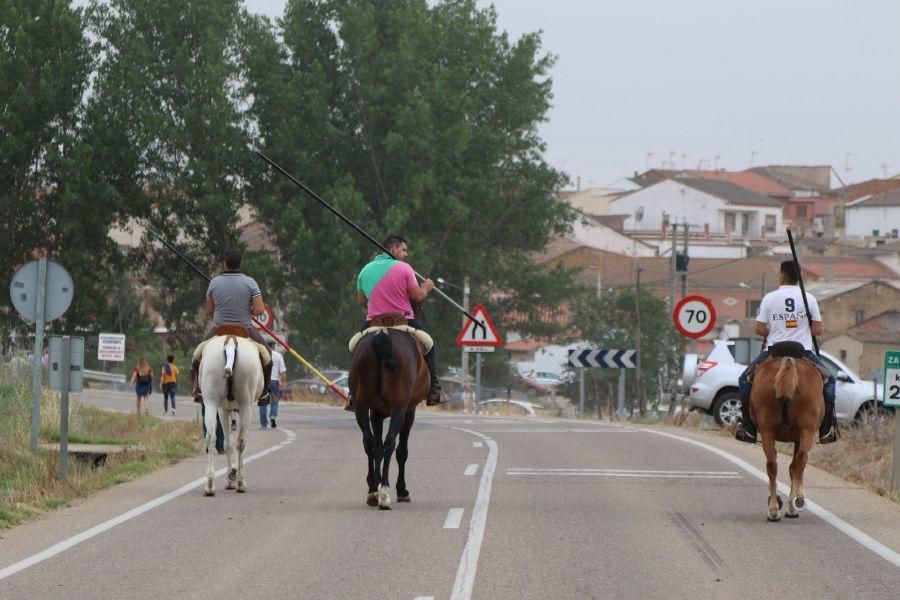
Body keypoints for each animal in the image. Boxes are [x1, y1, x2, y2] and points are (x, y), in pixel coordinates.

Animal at [198, 332, 266, 496]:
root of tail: (230, 342)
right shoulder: (228, 408)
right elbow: (232, 443)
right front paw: (233, 475)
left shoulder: (222, 408)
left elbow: (227, 443)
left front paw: (231, 475)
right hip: (245, 404)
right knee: (241, 440)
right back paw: (240, 482)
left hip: (211, 401)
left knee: (211, 436)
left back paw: (210, 485)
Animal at [350, 326, 430, 508]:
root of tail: (382, 335)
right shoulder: (408, 411)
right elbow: (401, 451)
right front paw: (402, 491)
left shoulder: (376, 413)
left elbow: (377, 447)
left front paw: (376, 484)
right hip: (399, 409)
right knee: (391, 442)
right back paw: (385, 493)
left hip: (361, 407)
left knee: (369, 442)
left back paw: (373, 491)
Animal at [748, 344, 828, 524]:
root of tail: (789, 362)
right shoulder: (800, 437)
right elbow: (794, 467)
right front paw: (791, 505)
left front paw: (780, 502)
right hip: (806, 431)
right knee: (800, 460)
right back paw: (796, 501)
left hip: (767, 431)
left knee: (772, 465)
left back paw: (774, 509)